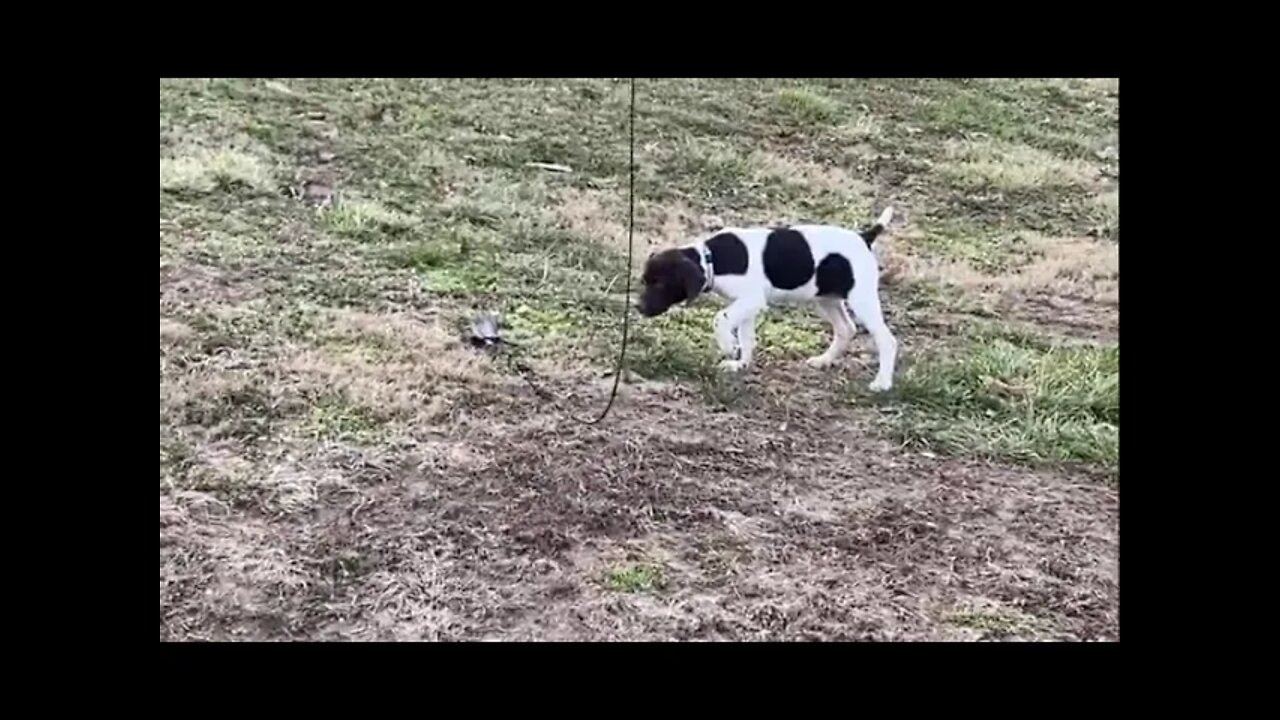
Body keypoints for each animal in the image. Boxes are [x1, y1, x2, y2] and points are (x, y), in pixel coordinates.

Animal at [634, 204, 896, 389]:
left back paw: (882, 383)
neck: (712, 259)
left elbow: (720, 319)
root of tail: (864, 237)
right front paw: (740, 364)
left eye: (660, 284)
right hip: (826, 299)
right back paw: (824, 360)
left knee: (886, 340)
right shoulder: (746, 306)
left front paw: (728, 346)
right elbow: (746, 337)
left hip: (861, 300)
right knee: (846, 329)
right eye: (645, 281)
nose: (639, 307)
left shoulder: (751, 300)